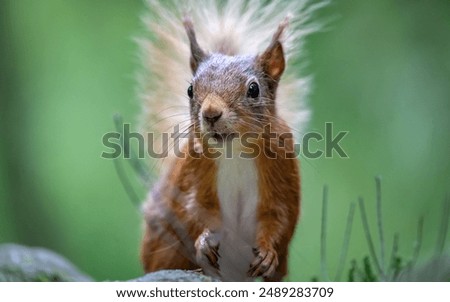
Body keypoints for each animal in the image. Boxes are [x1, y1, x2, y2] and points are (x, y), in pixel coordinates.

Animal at [138, 1, 316, 282]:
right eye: (190, 90)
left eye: (254, 89)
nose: (211, 113)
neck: (233, 150)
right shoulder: (192, 169)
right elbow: (192, 211)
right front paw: (204, 242)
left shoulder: (282, 168)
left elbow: (279, 216)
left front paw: (267, 253)